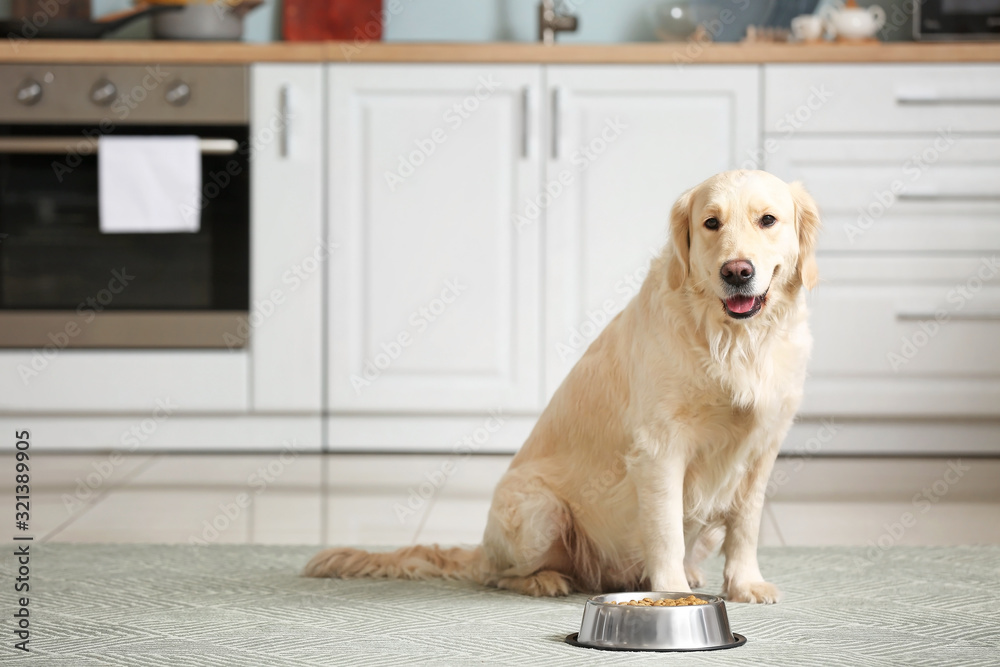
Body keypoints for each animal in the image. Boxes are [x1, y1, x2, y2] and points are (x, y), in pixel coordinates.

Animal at [304, 168, 820, 604]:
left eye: (768, 220)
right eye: (711, 223)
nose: (737, 272)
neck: (735, 340)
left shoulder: (762, 448)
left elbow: (745, 525)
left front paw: (745, 584)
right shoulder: (659, 449)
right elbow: (666, 530)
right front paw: (671, 593)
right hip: (539, 511)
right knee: (497, 574)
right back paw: (545, 580)